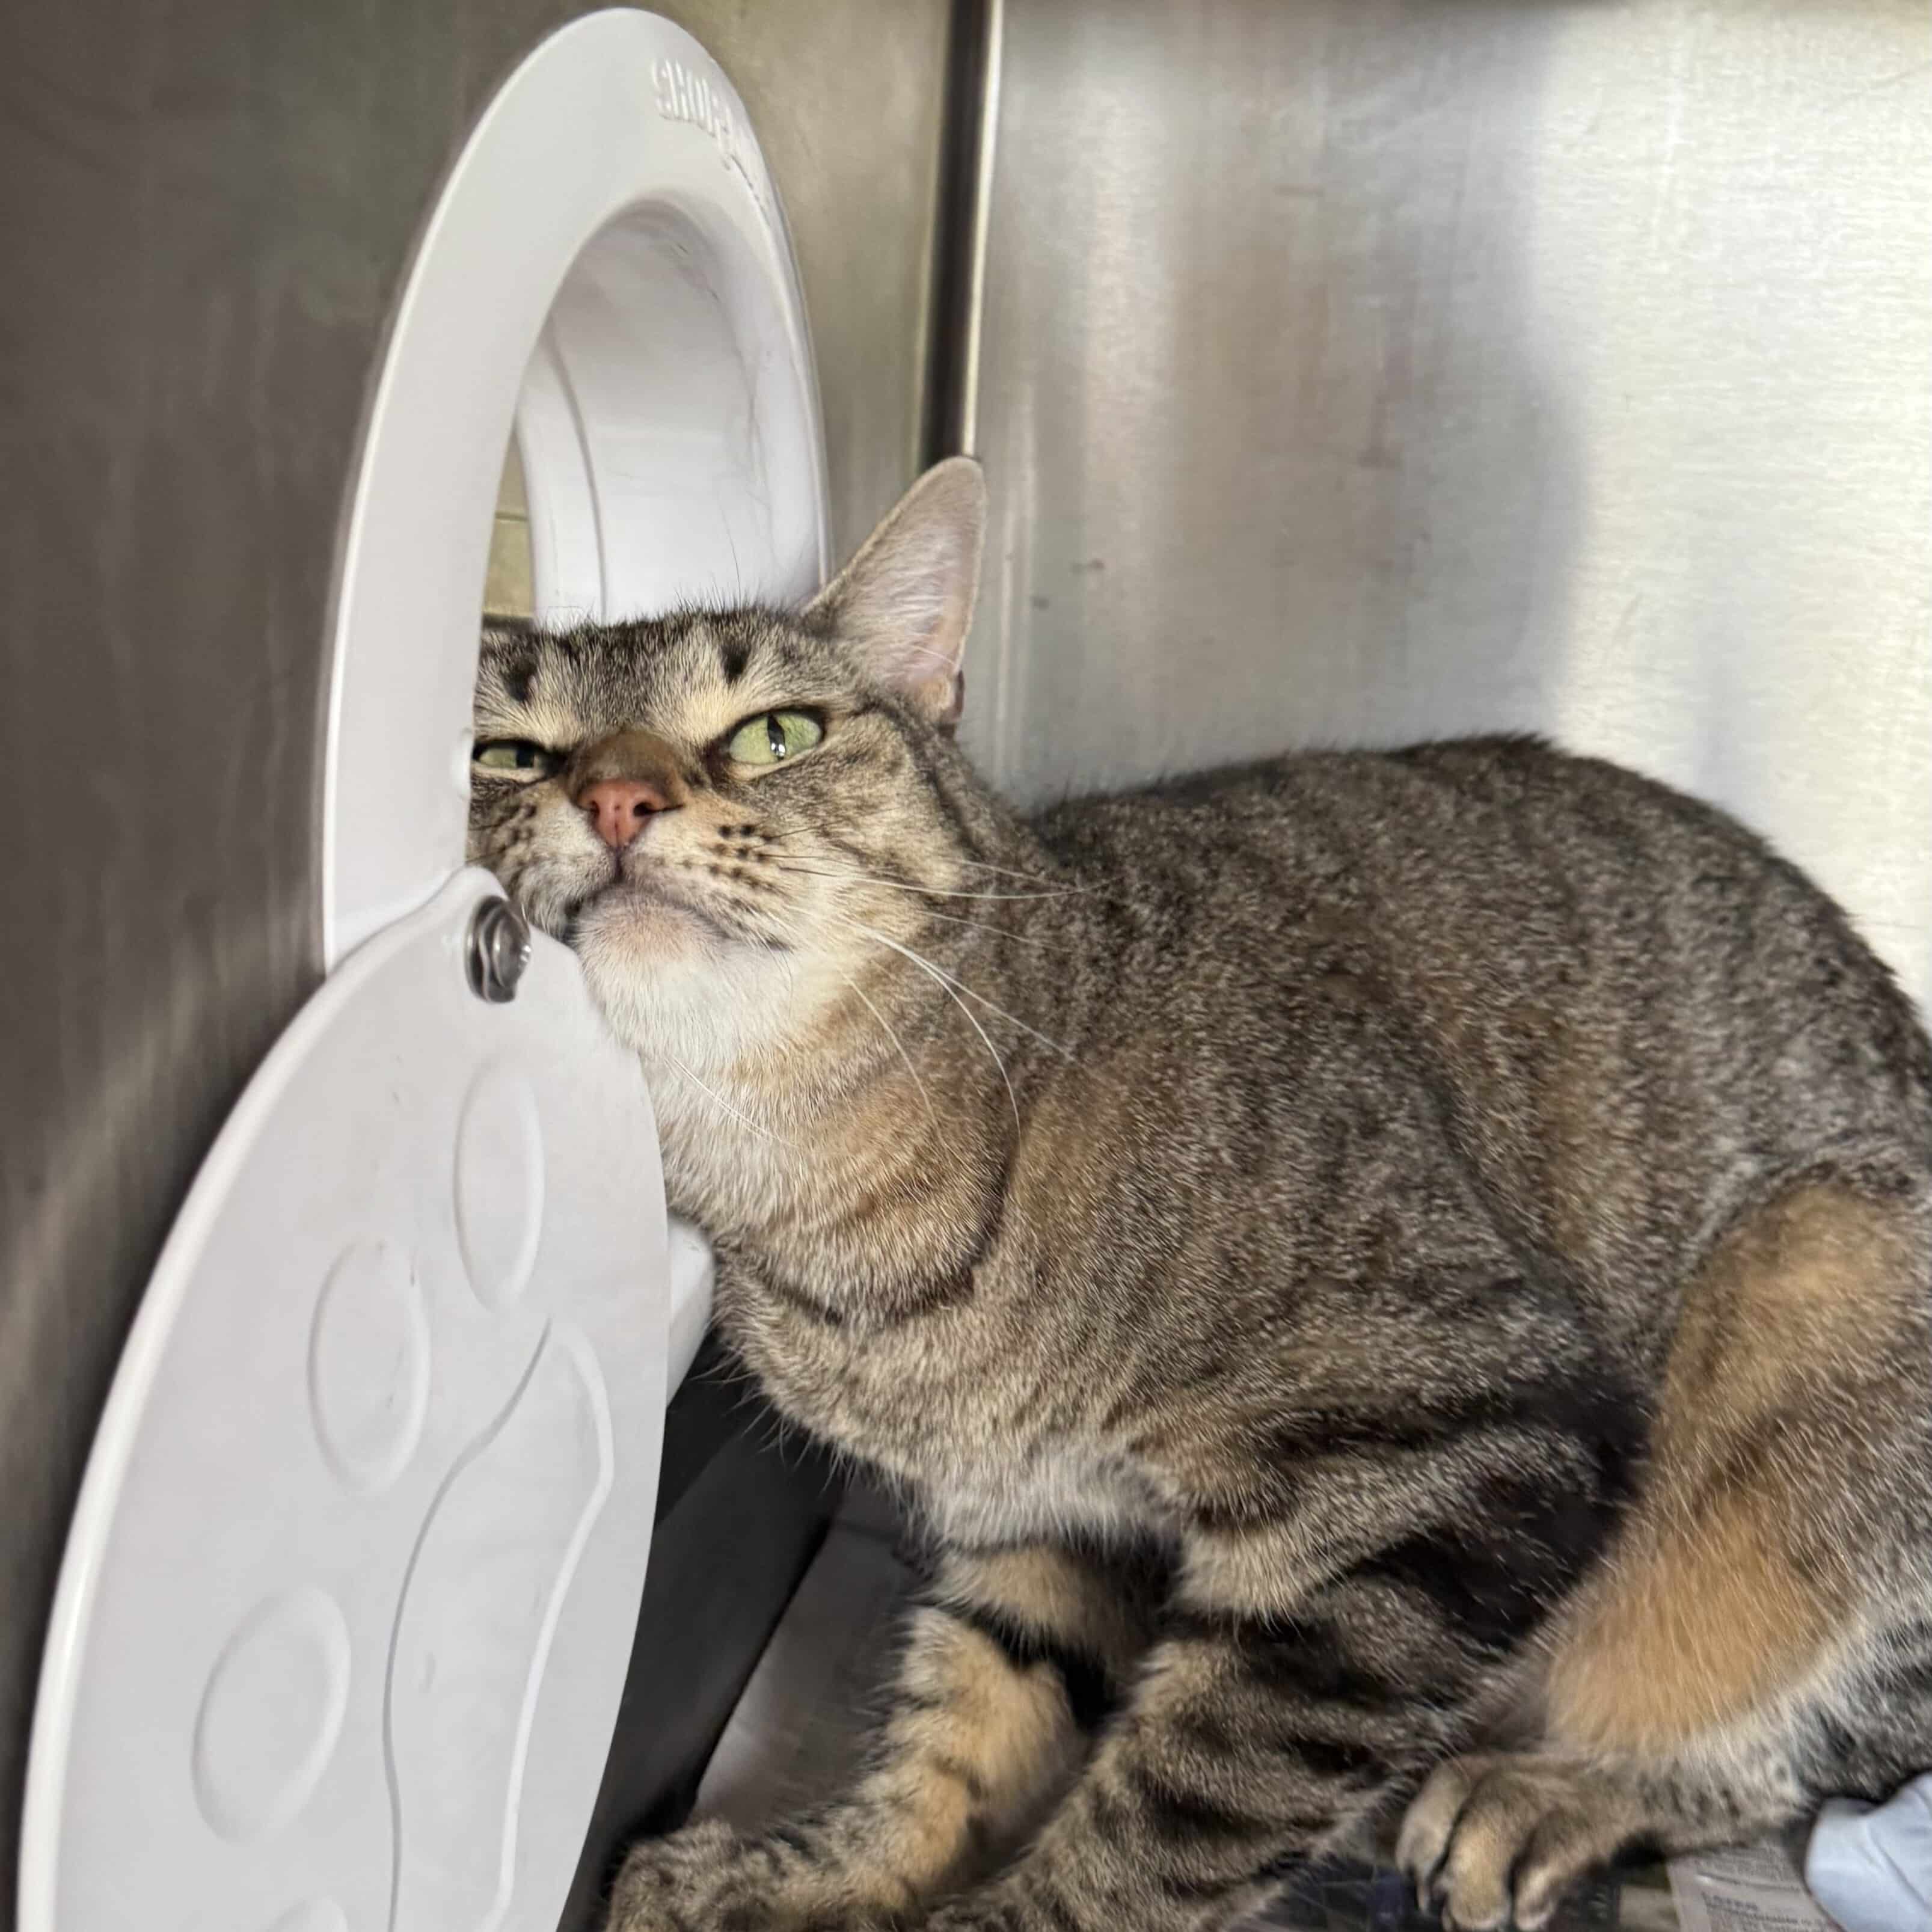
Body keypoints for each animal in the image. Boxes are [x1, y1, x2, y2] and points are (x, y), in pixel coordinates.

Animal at [469, 458, 1932, 1932]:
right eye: (509, 755)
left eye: (776, 732)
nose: (616, 798)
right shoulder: (1037, 1516)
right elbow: (963, 1720)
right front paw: (815, 1870)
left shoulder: (1454, 1453)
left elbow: (1182, 1802)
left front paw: (1006, 1919)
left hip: (1830, 1260)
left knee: (1792, 1752)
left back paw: (1551, 1792)